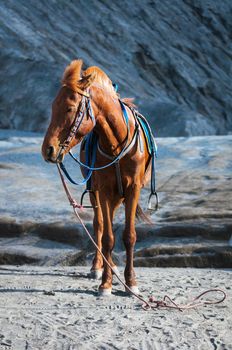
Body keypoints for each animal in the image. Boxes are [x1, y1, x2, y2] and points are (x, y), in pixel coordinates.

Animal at [42, 60, 156, 296]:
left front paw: (131, 282)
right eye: (53, 107)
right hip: (96, 192)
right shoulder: (102, 190)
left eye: (69, 108)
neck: (117, 144)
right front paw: (105, 283)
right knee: (99, 225)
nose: (48, 150)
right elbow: (107, 237)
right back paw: (99, 266)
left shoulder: (133, 189)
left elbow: (129, 236)